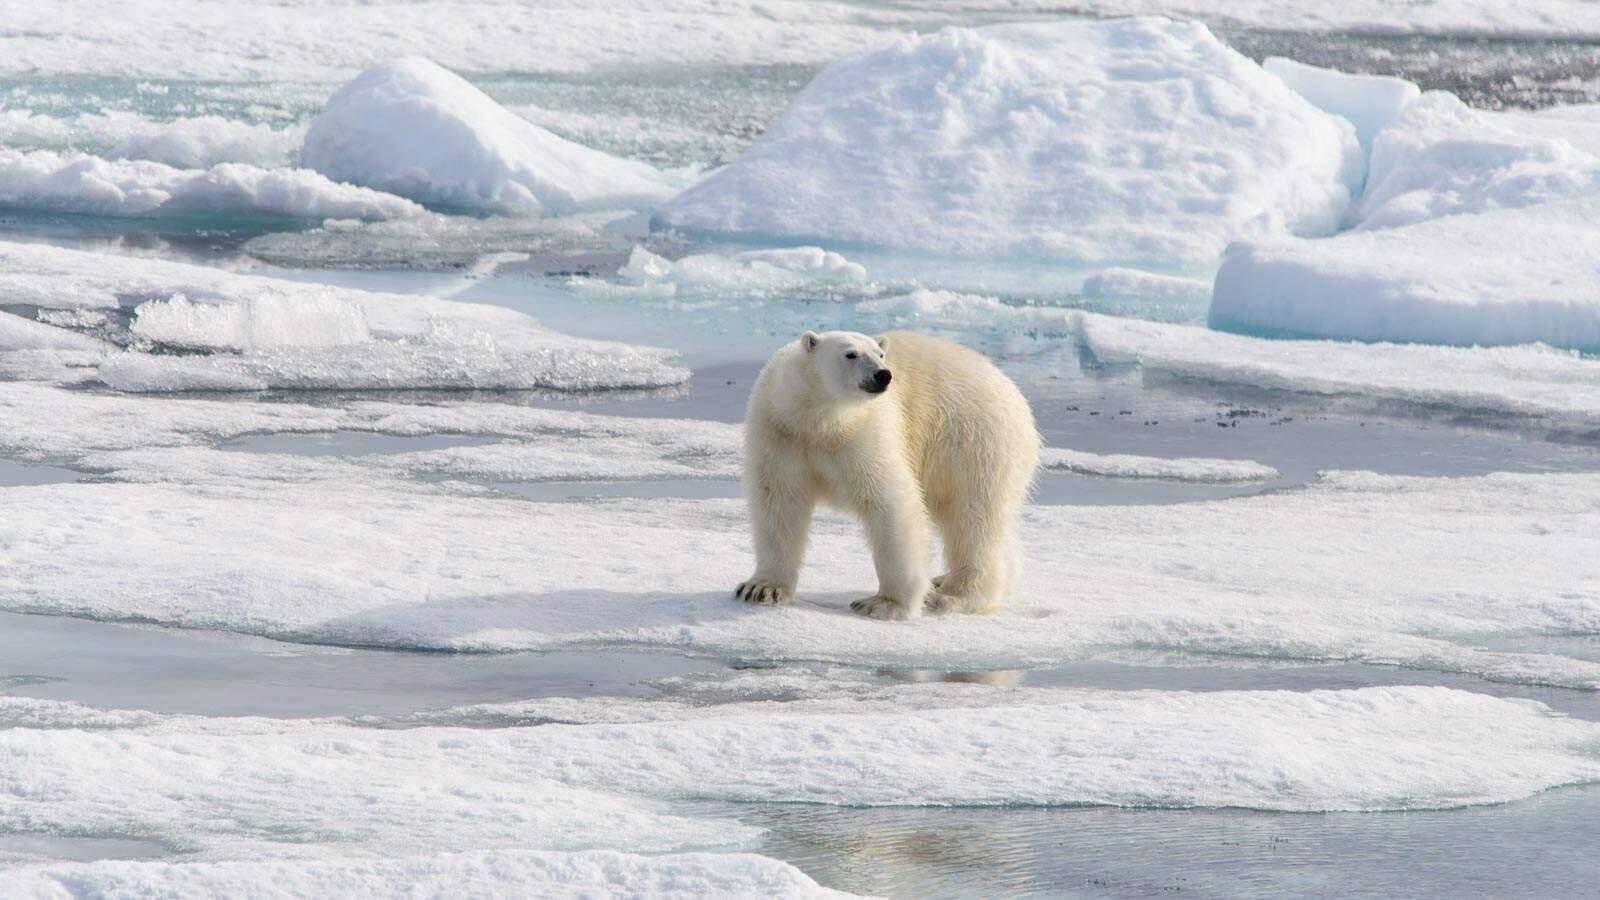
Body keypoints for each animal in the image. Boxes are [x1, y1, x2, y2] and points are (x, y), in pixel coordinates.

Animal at [734, 329, 1039, 620]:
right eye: (851, 354)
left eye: (880, 354)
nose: (883, 374)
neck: (818, 421)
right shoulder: (780, 433)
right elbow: (778, 502)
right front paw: (761, 588)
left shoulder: (864, 434)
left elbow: (890, 503)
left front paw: (884, 604)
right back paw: (947, 581)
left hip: (972, 443)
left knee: (972, 519)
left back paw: (951, 595)